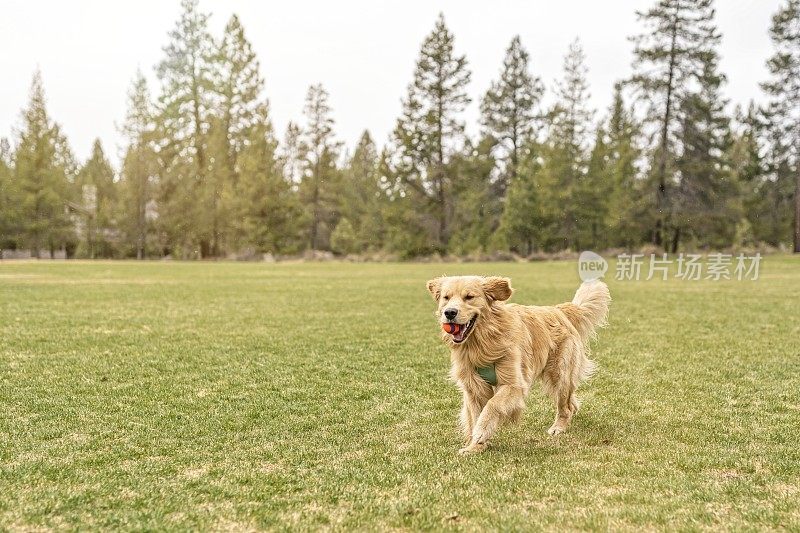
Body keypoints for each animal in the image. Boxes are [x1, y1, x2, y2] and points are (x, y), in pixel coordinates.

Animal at [428, 274, 608, 454]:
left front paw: (481, 432)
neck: (481, 343)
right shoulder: (474, 387)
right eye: (446, 298)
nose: (449, 313)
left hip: (559, 372)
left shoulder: (513, 384)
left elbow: (492, 405)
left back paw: (558, 427)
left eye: (469, 297)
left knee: (565, 406)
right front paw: (474, 447)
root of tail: (559, 310)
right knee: (572, 402)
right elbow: (475, 415)